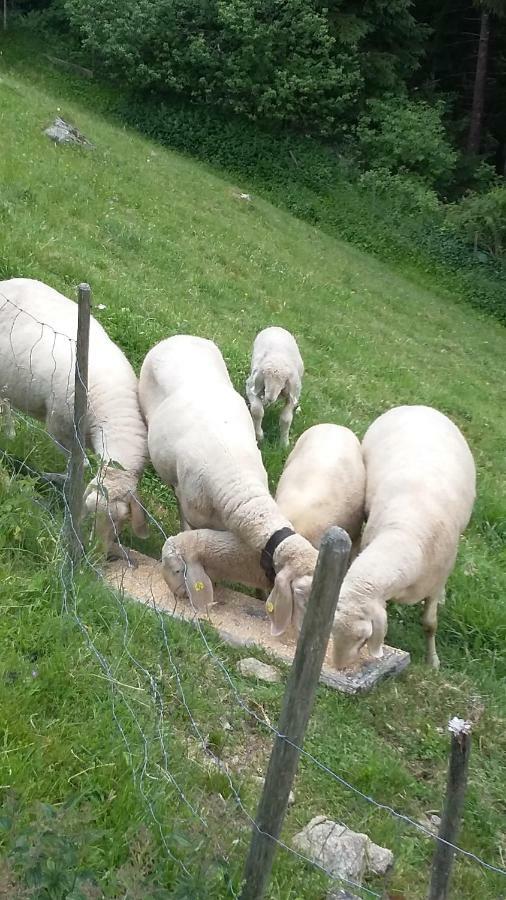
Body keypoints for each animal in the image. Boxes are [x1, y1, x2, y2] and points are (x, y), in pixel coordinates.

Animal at [0, 276, 149, 556]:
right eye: (89, 512)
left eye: (121, 522)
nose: (94, 553)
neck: (114, 412)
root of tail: (9, 281)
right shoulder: (61, 429)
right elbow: (80, 466)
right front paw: (65, 487)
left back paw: (9, 433)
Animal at [330, 406, 476, 668]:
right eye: (332, 629)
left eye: (363, 637)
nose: (339, 666)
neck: (404, 534)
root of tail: (419, 407)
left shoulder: (436, 579)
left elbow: (430, 624)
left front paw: (433, 662)